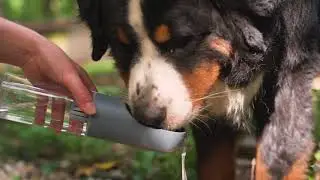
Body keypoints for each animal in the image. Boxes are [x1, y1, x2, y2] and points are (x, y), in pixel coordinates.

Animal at [75, 0, 320, 179]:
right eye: (123, 45)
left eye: (181, 42)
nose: (148, 117)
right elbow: (214, 165)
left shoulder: (291, 75)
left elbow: (277, 156)